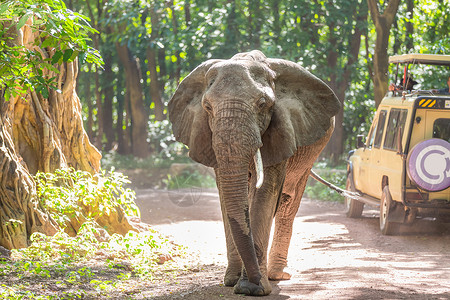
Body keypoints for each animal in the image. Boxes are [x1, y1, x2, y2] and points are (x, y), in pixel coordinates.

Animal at [169, 49, 342, 296]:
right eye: (207, 107)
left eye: (262, 104)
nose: (253, 280)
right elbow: (227, 198)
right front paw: (233, 282)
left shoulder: (281, 129)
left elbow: (265, 193)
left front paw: (253, 288)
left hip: (311, 153)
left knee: (289, 202)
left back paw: (277, 275)